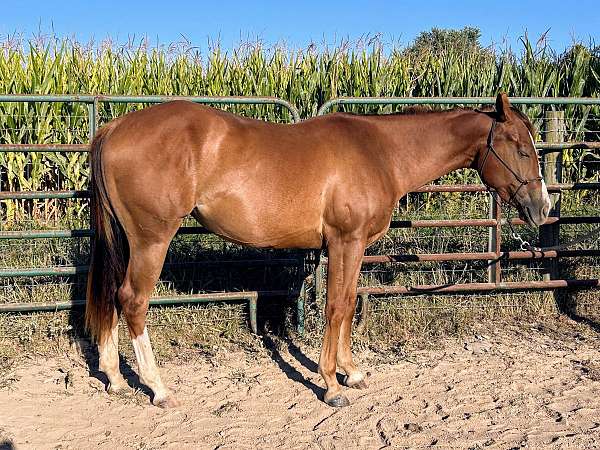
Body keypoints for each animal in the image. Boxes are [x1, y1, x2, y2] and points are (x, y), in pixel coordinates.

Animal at [86, 92, 552, 408]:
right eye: (521, 149)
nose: (542, 207)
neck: (381, 152)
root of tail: (115, 127)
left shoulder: (353, 246)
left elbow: (346, 303)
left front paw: (352, 372)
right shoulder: (346, 242)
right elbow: (336, 307)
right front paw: (330, 385)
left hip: (129, 241)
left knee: (112, 296)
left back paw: (114, 378)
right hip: (151, 240)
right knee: (133, 300)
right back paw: (158, 388)